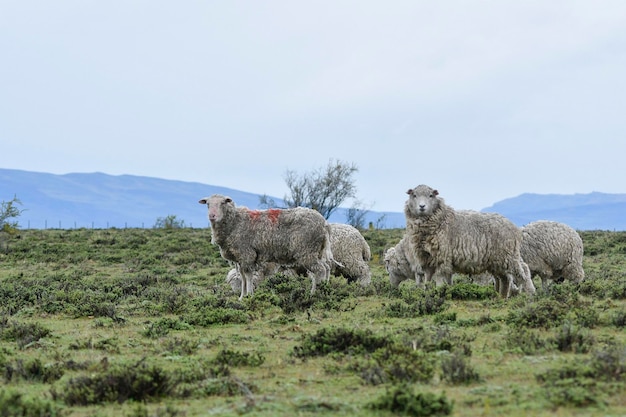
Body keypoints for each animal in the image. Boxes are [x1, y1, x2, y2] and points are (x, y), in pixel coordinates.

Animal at [199, 193, 332, 298]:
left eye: (222, 203)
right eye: (207, 204)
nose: (212, 216)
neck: (234, 222)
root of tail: (324, 223)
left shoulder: (247, 254)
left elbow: (248, 276)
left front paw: (249, 295)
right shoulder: (240, 258)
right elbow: (242, 277)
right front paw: (242, 296)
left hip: (307, 251)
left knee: (320, 270)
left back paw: (315, 294)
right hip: (317, 251)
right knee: (326, 268)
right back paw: (325, 289)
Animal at [224, 221, 370, 292]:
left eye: (239, 283)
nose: (238, 295)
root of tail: (361, 239)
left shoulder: (287, 267)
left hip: (351, 258)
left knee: (364, 271)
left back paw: (363, 285)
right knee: (352, 275)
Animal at [402, 184, 532, 298]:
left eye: (430, 195)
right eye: (414, 195)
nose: (422, 206)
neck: (440, 219)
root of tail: (514, 227)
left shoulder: (442, 258)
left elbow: (439, 279)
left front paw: (438, 293)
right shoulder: (427, 259)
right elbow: (428, 280)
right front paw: (428, 294)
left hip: (508, 257)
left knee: (522, 274)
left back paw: (528, 296)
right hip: (497, 261)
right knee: (504, 279)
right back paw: (501, 297)